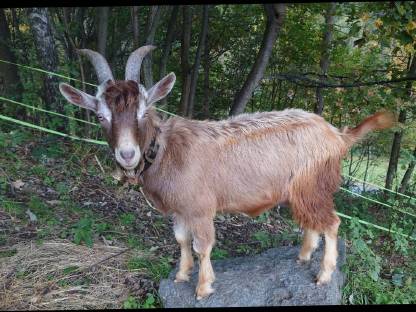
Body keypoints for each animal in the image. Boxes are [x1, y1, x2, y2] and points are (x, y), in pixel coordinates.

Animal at [57, 45, 394, 300]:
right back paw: (303, 256)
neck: (165, 150)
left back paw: (323, 275)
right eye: (100, 116)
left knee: (332, 223)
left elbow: (202, 245)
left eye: (142, 112)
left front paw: (203, 288)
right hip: (300, 192)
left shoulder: (200, 208)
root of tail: (337, 135)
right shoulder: (179, 210)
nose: (127, 154)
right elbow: (181, 240)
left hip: (314, 186)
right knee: (312, 220)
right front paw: (182, 275)